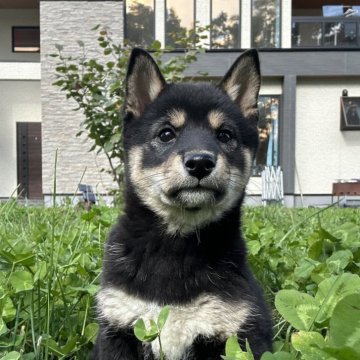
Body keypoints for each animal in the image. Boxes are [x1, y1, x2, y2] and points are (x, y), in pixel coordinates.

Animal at [94, 48, 272, 360]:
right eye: (166, 133)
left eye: (224, 135)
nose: (200, 162)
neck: (176, 247)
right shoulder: (118, 326)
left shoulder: (234, 331)